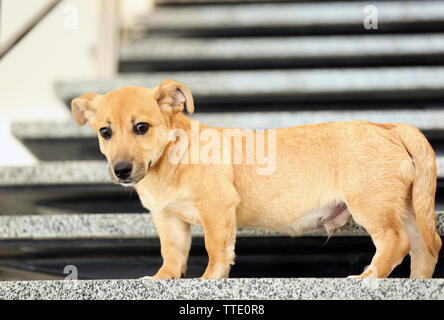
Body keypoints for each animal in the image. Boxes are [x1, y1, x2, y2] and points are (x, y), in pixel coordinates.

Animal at [72, 79, 440, 278]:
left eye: (141, 127)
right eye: (104, 132)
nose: (121, 170)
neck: (170, 159)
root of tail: (388, 126)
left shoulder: (217, 209)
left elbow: (215, 249)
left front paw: (209, 279)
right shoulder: (168, 219)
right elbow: (172, 254)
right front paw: (162, 278)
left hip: (372, 205)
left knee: (395, 242)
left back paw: (367, 277)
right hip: (406, 207)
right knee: (425, 246)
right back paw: (415, 281)